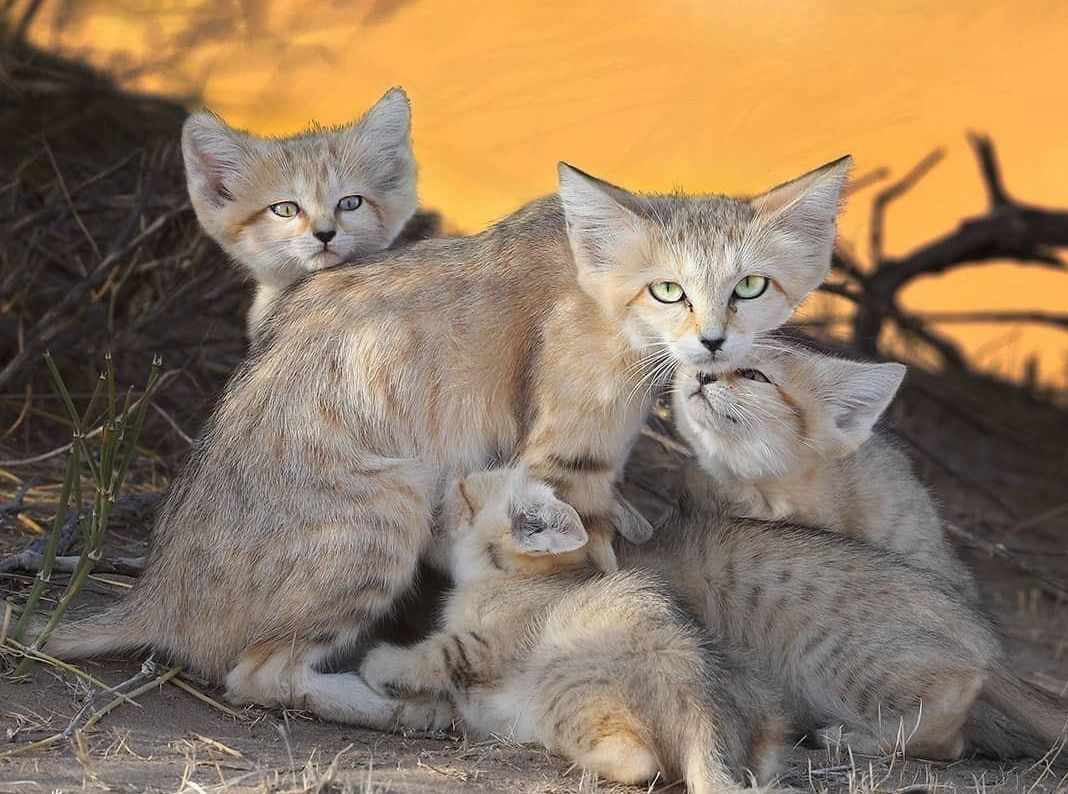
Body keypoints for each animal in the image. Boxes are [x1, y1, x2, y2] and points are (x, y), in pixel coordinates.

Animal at [35, 158, 850, 730]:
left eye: (750, 287)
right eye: (668, 290)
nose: (712, 342)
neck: (600, 281)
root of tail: (157, 591)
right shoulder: (563, 455)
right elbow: (572, 558)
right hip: (388, 505)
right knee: (256, 676)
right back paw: (403, 707)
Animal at [358, 468, 786, 790]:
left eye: (462, 493)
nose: (434, 504)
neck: (509, 578)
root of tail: (706, 718)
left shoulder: (480, 646)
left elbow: (434, 653)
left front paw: (379, 663)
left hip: (561, 686)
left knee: (640, 761)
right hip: (764, 709)